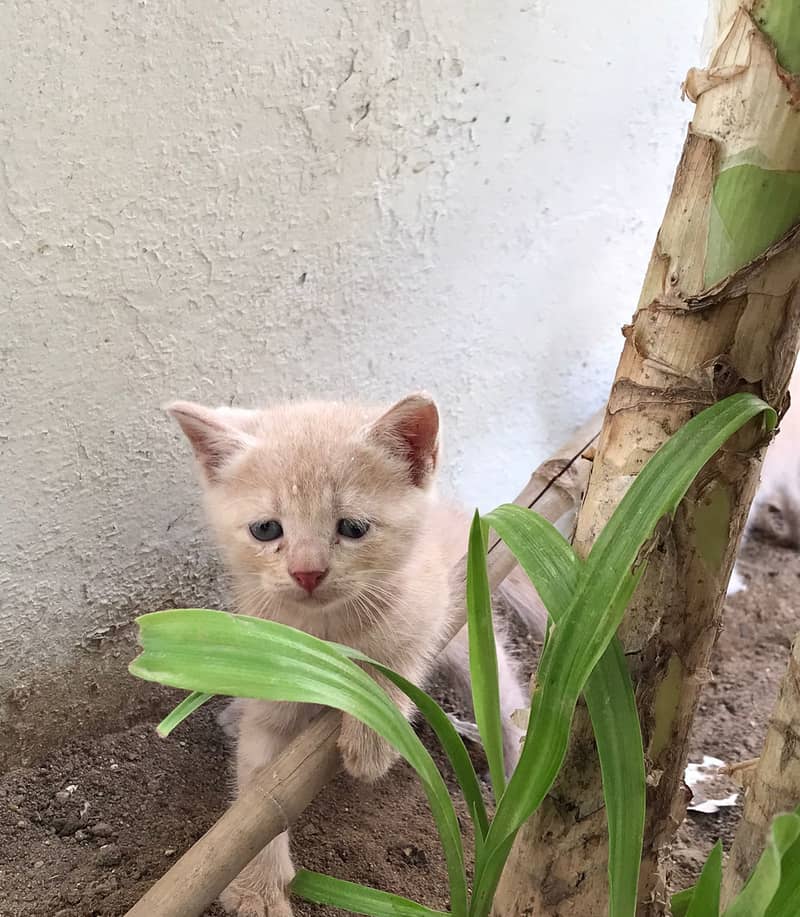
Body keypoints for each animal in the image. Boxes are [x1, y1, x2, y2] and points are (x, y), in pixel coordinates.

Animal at [169, 392, 532, 916]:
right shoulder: (268, 666)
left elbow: (397, 656)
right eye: (266, 529)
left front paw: (373, 732)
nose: (306, 572)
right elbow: (258, 795)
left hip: (470, 626)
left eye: (353, 527)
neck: (326, 631)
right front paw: (258, 887)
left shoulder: (428, 602)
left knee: (506, 700)